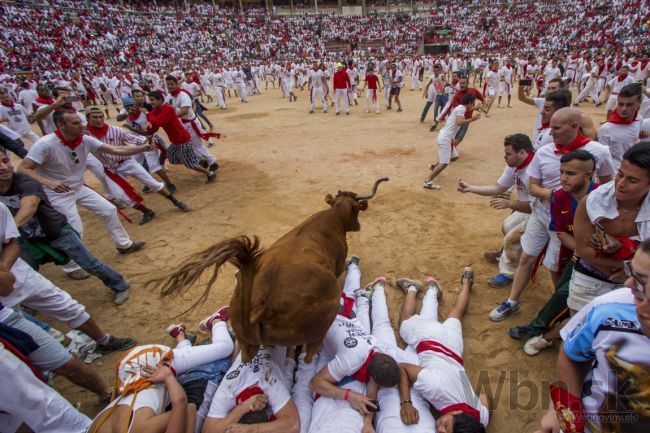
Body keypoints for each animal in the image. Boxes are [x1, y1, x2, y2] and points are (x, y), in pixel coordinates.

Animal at [151, 176, 384, 362]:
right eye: (357, 209)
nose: (358, 226)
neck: (333, 216)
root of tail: (260, 304)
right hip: (319, 328)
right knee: (309, 355)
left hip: (247, 342)